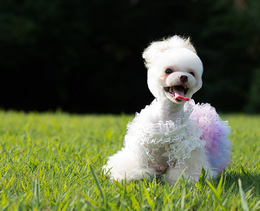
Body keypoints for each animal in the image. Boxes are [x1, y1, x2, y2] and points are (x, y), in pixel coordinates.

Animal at [103, 35, 232, 184]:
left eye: (191, 73)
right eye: (168, 71)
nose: (184, 76)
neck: (168, 119)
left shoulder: (188, 149)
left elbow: (188, 167)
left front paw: (184, 179)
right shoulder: (141, 147)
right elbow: (138, 164)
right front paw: (133, 176)